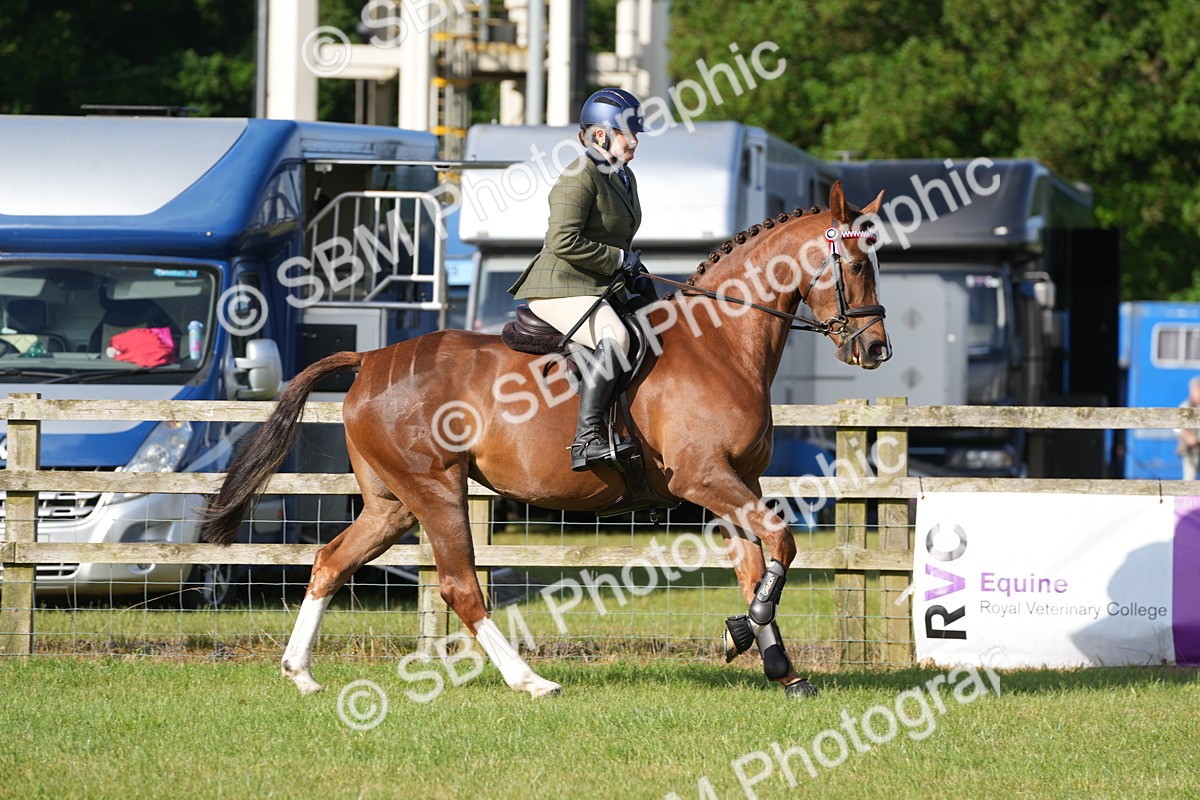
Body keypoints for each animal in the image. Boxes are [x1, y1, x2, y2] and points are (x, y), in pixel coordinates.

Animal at [200, 180, 890, 699]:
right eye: (858, 265)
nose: (876, 349)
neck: (720, 342)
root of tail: (370, 359)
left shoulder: (736, 480)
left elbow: (755, 562)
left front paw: (777, 665)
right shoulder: (704, 477)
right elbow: (781, 543)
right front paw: (746, 633)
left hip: (392, 503)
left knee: (330, 561)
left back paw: (300, 673)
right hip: (436, 489)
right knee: (459, 586)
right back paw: (529, 680)